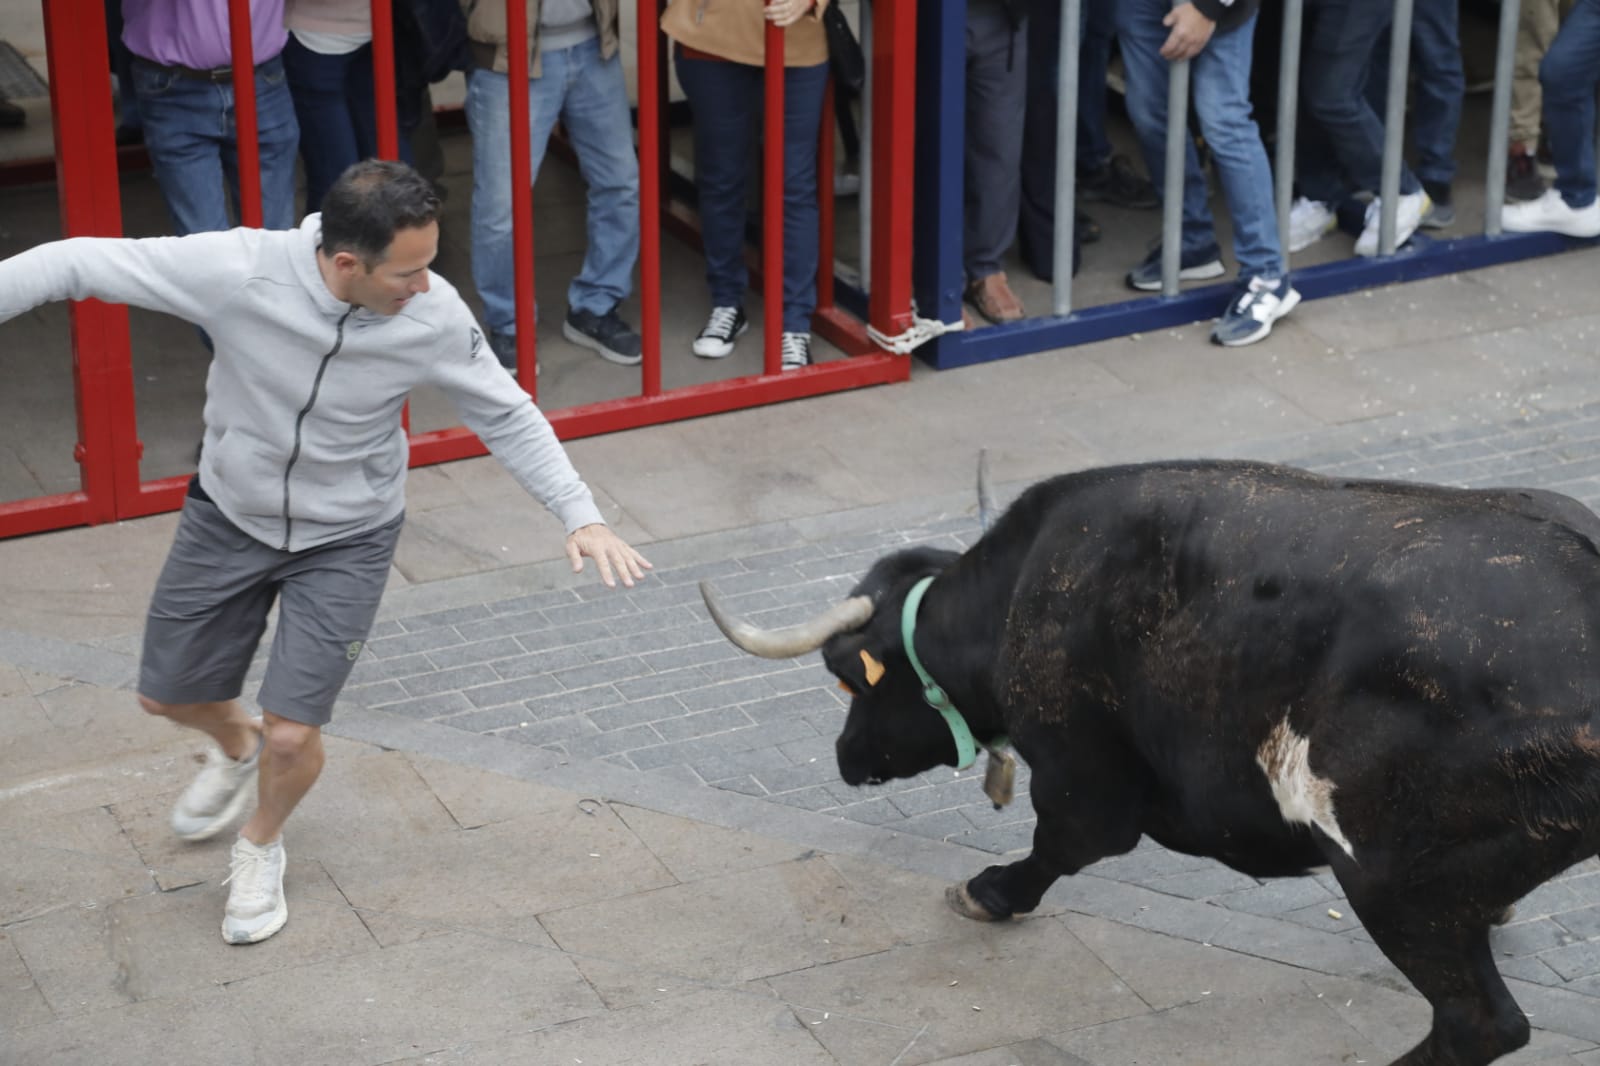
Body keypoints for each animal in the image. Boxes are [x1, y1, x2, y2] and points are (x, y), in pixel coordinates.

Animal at [704, 457, 1600, 1062]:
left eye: (845, 676)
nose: (846, 758)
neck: (1020, 590)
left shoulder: (1082, 777)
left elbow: (1060, 846)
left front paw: (990, 891)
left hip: (1388, 878)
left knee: (1480, 1023)